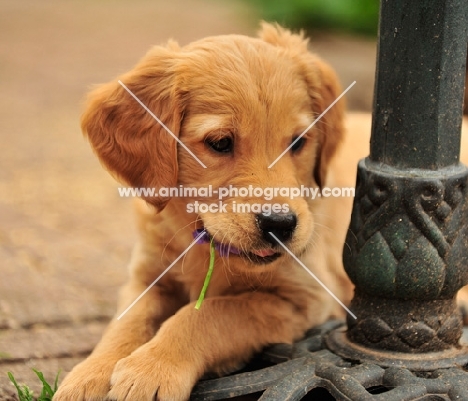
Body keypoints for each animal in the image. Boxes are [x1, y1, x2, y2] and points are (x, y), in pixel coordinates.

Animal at [54, 24, 352, 400]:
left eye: (299, 142)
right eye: (221, 143)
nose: (280, 224)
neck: (203, 239)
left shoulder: (305, 298)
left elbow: (211, 313)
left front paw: (152, 368)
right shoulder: (147, 278)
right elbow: (126, 322)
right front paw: (91, 374)